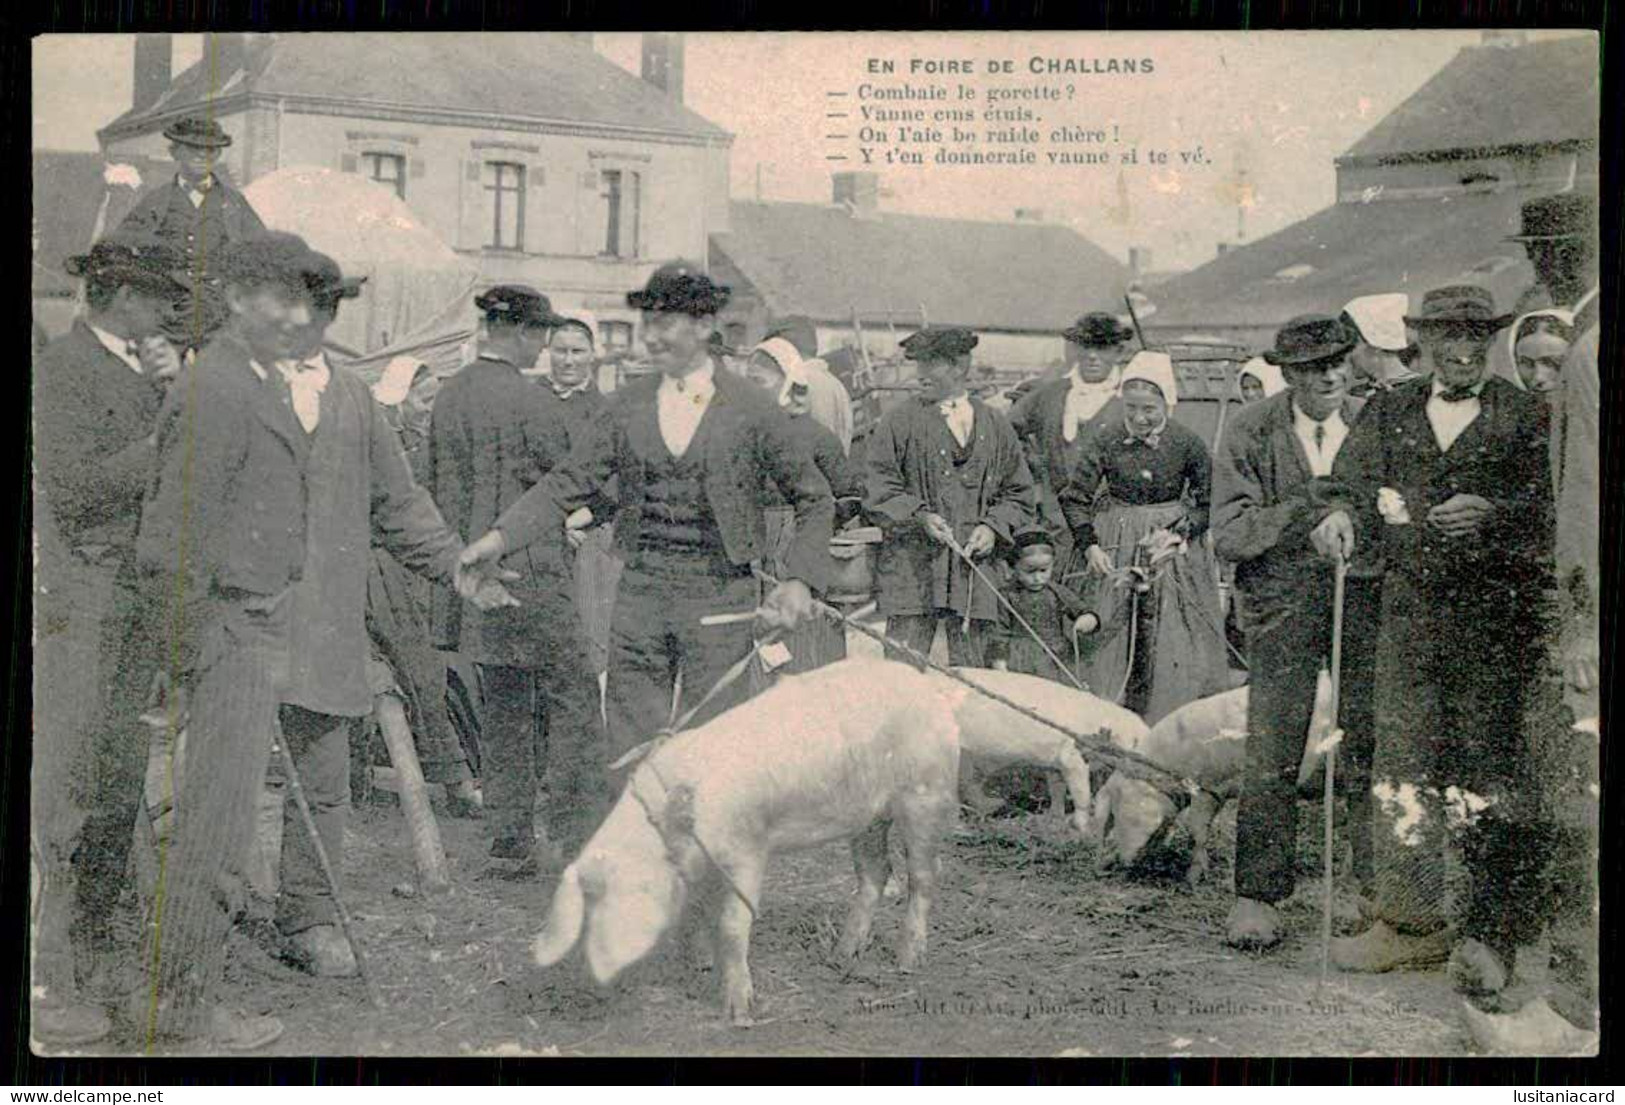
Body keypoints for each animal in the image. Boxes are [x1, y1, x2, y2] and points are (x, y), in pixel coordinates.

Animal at [533, 656, 962, 1027]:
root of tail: (930, 687)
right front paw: (701, 967)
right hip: (868, 817)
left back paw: (908, 960)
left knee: (924, 876)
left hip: (924, 795)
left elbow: (732, 924)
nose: (596, 979)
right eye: (586, 904)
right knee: (875, 872)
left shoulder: (748, 850)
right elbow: (699, 913)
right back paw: (842, 954)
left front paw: (740, 1014)